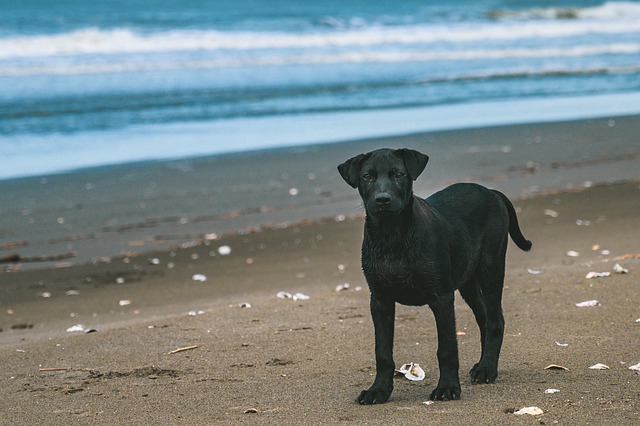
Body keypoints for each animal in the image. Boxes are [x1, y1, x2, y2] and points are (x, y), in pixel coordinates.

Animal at [338, 148, 532, 404]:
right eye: (367, 176)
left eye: (398, 174)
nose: (382, 199)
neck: (392, 236)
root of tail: (491, 191)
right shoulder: (380, 299)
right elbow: (383, 352)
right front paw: (378, 390)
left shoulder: (441, 297)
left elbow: (447, 348)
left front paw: (447, 387)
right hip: (467, 281)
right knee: (484, 318)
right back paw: (483, 364)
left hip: (491, 266)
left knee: (494, 319)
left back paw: (487, 369)